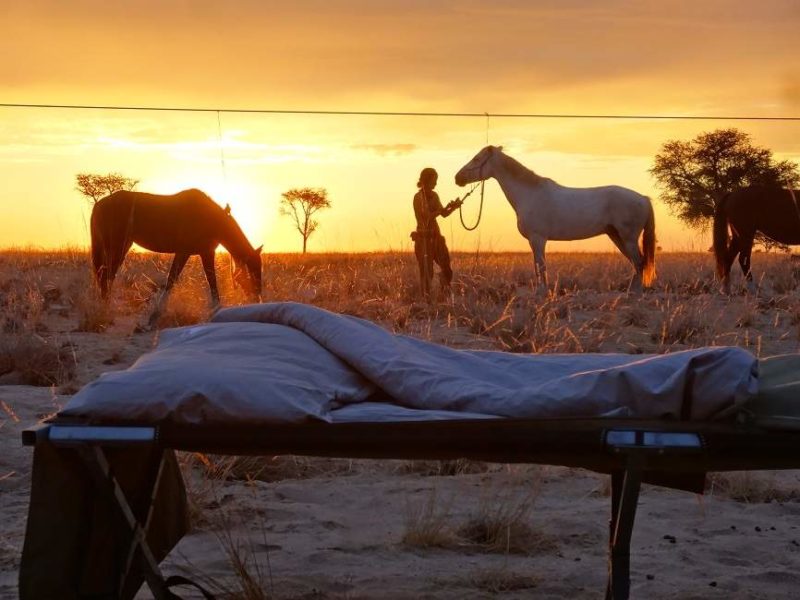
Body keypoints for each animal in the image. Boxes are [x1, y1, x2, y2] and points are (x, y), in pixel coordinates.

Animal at [91, 190, 262, 326]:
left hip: (121, 246)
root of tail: (99, 205)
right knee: (106, 276)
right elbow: (172, 280)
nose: (257, 299)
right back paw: (106, 311)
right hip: (116, 246)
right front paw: (154, 317)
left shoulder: (205, 253)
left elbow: (211, 282)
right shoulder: (185, 252)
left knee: (106, 276)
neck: (211, 219)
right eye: (252, 272)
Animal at [456, 145, 656, 290]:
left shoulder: (538, 239)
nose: (457, 178)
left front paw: (542, 292)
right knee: (637, 264)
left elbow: (541, 267)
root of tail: (643, 199)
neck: (529, 194)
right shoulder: (535, 241)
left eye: (477, 158)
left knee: (640, 263)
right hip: (616, 236)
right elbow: (538, 267)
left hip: (628, 238)